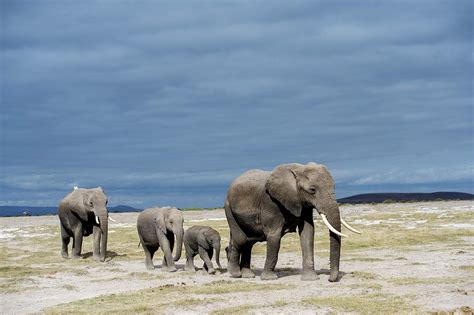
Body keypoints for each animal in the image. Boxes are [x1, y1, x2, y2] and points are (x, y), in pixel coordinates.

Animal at [225, 163, 360, 282]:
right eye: (312, 190)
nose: (330, 280)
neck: (298, 169)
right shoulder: (271, 203)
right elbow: (274, 236)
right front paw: (269, 278)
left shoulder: (303, 203)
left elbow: (308, 233)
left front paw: (310, 279)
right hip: (229, 209)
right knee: (241, 239)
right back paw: (235, 274)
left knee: (249, 242)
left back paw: (247, 275)